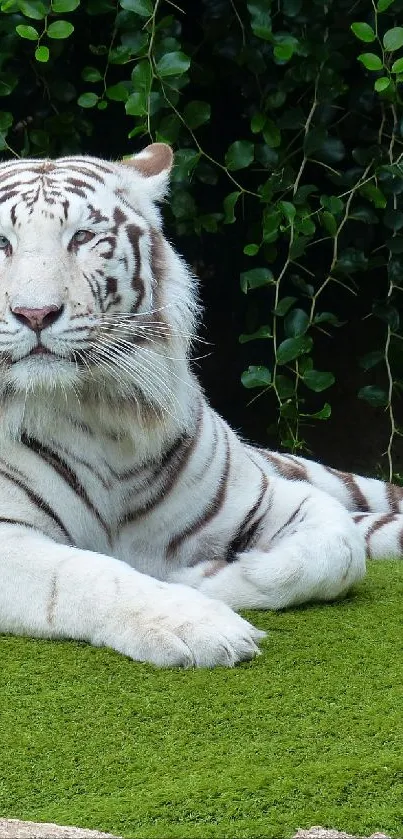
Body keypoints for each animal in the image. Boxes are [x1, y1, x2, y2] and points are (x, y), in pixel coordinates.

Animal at [0, 144, 400, 668]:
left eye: (82, 237)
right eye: (1, 243)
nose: (35, 314)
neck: (99, 412)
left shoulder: (264, 496)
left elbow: (338, 551)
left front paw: (204, 577)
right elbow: (88, 574)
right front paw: (197, 623)